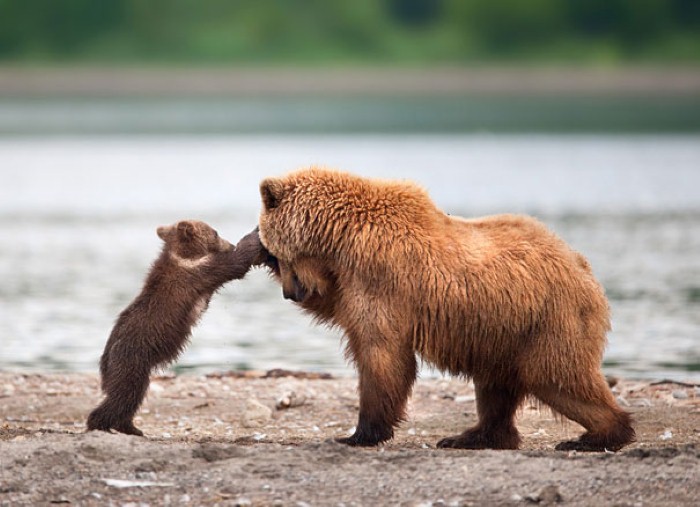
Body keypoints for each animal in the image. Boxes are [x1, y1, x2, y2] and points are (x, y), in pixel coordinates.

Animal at [258, 169, 636, 450]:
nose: (290, 294)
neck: (340, 238)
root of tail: (582, 266)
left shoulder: (379, 277)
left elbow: (381, 354)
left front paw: (359, 434)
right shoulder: (348, 281)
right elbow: (336, 308)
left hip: (549, 319)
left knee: (557, 376)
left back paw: (598, 436)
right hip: (502, 330)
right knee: (496, 386)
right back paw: (473, 436)